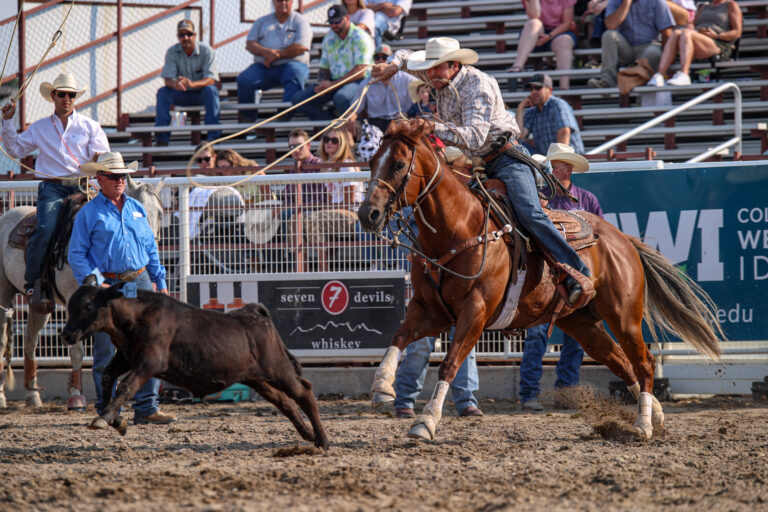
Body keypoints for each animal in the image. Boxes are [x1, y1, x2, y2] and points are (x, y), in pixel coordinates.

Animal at [0, 178, 165, 410]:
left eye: (160, 213)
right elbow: (77, 350)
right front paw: (77, 396)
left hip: (40, 306)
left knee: (30, 340)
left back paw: (33, 395)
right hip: (3, 294)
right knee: (3, 340)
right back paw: (1, 396)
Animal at [356, 122, 724, 442]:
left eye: (399, 163)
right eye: (372, 162)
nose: (367, 214)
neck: (460, 227)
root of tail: (622, 239)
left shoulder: (475, 312)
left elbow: (449, 363)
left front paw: (426, 422)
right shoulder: (430, 310)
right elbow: (398, 336)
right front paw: (382, 388)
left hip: (624, 316)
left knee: (644, 363)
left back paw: (643, 426)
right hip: (582, 324)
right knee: (621, 362)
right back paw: (657, 414)